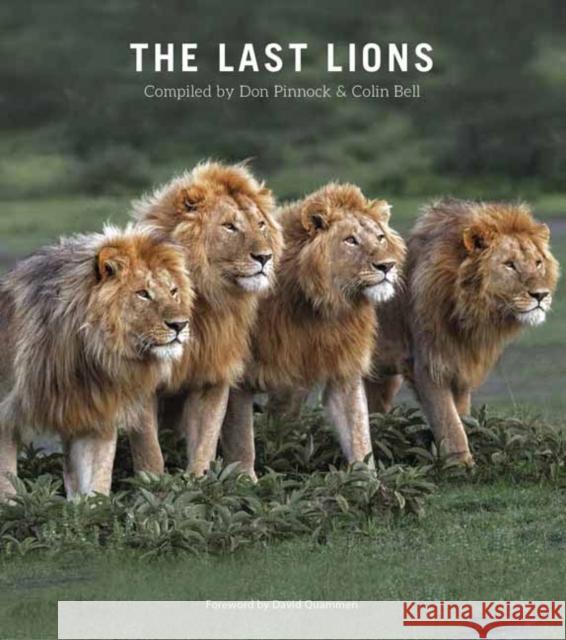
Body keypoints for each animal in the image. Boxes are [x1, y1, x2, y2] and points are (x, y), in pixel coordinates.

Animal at [0, 226, 194, 499]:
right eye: (143, 294)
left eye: (173, 291)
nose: (180, 325)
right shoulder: (4, 417)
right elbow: (6, 487)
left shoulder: (94, 416)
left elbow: (96, 485)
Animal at [127, 161, 283, 476]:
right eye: (230, 226)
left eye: (260, 224)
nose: (265, 257)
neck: (205, 300)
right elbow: (149, 448)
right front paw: (154, 483)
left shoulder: (211, 374)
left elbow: (205, 441)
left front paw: (197, 481)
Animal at [221, 183, 406, 478]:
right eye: (350, 240)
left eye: (380, 237)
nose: (387, 266)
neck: (318, 307)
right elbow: (240, 438)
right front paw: (244, 480)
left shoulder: (343, 367)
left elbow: (358, 432)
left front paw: (367, 481)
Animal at [366, 198, 559, 465]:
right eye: (509, 265)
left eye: (538, 263)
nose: (541, 295)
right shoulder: (429, 365)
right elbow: (449, 422)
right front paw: (462, 465)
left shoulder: (462, 364)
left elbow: (462, 416)